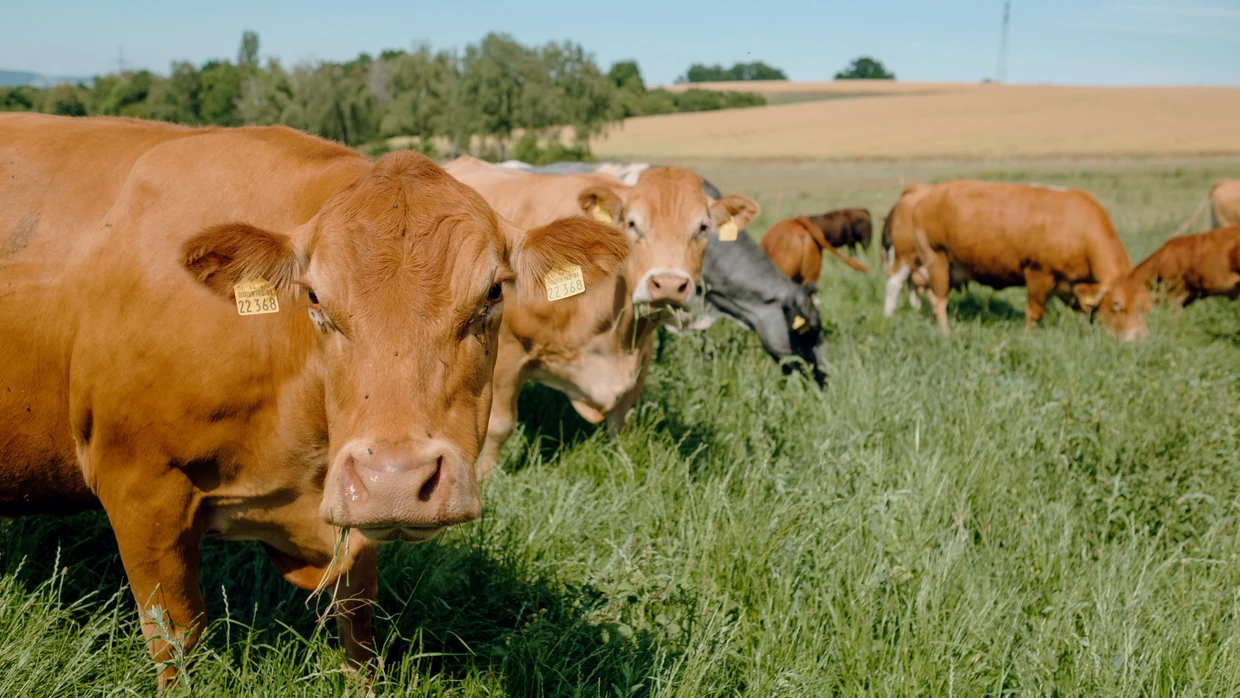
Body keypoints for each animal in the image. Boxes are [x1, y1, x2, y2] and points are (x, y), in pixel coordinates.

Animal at [0, 113, 628, 687]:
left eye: (494, 291)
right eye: (316, 298)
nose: (396, 480)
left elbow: (358, 617)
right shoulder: (140, 489)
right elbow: (177, 639)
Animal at [444, 156, 759, 475]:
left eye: (703, 228)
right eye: (632, 224)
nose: (669, 285)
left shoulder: (640, 357)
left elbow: (620, 425)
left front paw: (623, 465)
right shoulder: (507, 352)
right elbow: (500, 425)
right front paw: (486, 474)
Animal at [911, 180, 1138, 337]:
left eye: (1141, 304)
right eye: (1117, 305)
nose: (1135, 338)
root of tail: (931, 194)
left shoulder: (1070, 286)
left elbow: (1086, 311)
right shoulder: (1039, 273)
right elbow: (1034, 312)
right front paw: (1028, 338)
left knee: (932, 297)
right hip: (936, 258)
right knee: (939, 300)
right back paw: (945, 333)